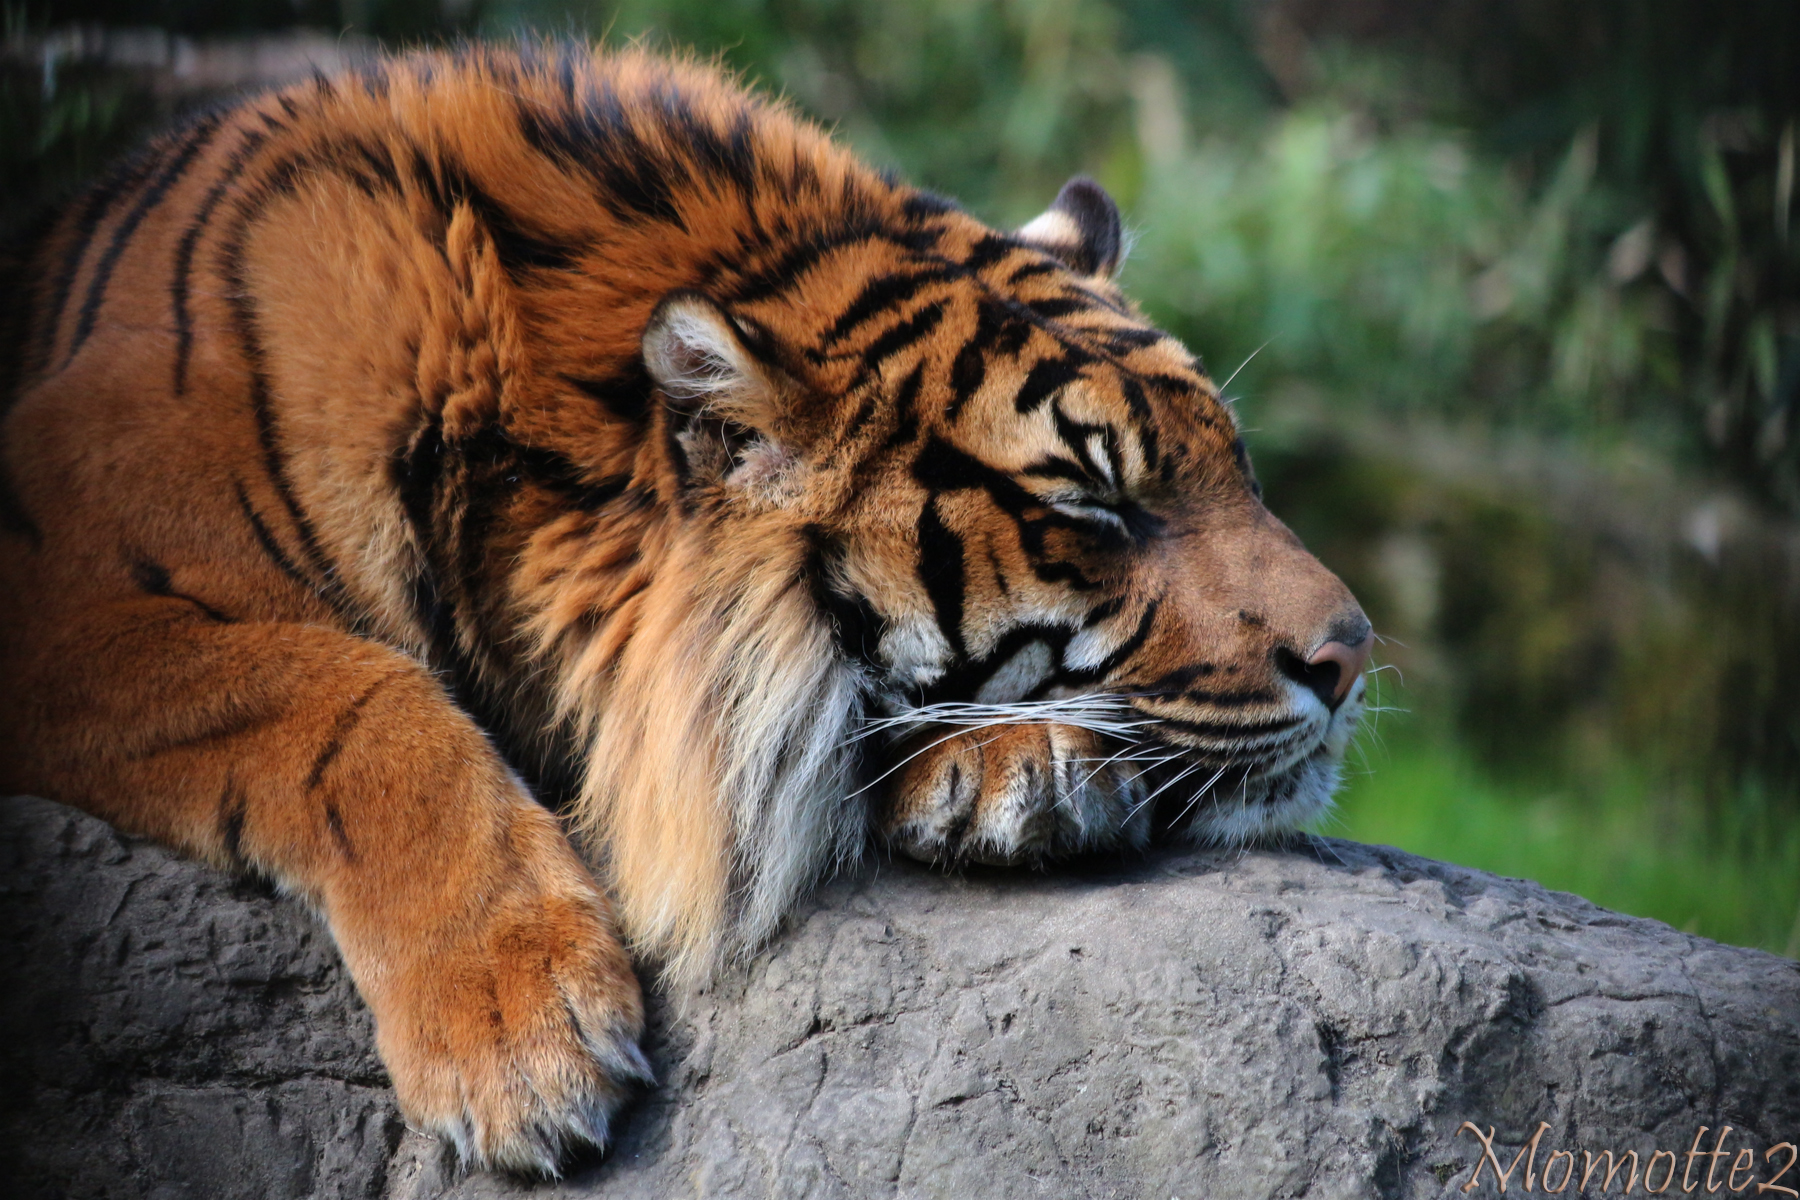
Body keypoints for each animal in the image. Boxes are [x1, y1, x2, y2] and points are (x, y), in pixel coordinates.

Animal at [0, 44, 1360, 1173]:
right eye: (1094, 506)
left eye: (1237, 467)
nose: (1350, 653)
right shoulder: (69, 587)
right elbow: (353, 695)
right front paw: (520, 1043)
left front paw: (1020, 766)